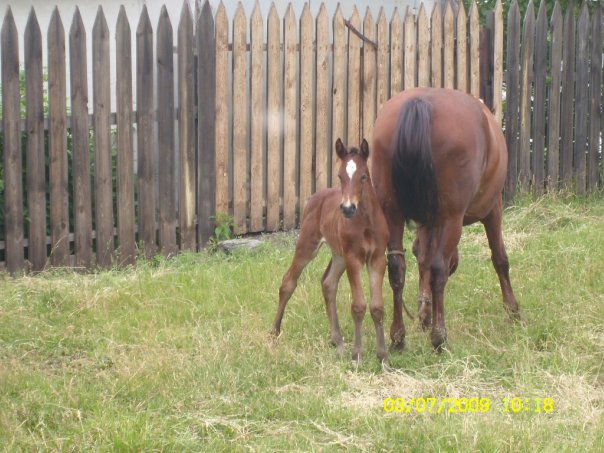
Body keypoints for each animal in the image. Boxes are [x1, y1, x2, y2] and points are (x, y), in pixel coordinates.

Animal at [272, 138, 390, 362]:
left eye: (363, 176)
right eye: (340, 176)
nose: (347, 208)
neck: (366, 223)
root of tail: (317, 195)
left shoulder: (377, 259)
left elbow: (377, 307)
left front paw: (383, 357)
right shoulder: (354, 258)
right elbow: (358, 306)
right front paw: (357, 355)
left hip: (339, 255)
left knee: (328, 283)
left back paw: (338, 342)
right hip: (308, 245)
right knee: (288, 281)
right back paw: (274, 332)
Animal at [371, 87, 520, 351]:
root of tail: (420, 103)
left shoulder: (428, 222)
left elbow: (422, 258)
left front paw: (424, 313)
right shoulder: (493, 209)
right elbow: (499, 258)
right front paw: (512, 310)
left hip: (392, 213)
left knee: (397, 267)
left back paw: (398, 336)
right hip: (452, 218)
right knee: (439, 268)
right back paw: (439, 337)